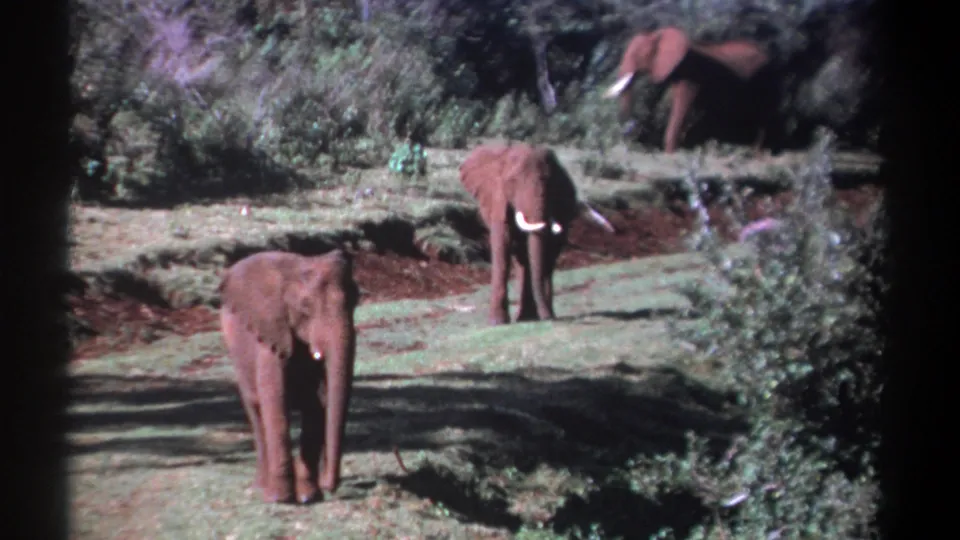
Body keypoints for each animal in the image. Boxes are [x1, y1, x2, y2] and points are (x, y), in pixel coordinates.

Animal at [218, 249, 360, 504]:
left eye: (357, 300)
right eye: (305, 306)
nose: (330, 486)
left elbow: (318, 404)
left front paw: (308, 497)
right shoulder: (271, 334)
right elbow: (275, 401)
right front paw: (281, 499)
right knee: (256, 412)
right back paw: (262, 487)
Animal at [459, 142, 617, 325]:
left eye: (550, 183)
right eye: (511, 183)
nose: (548, 318)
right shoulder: (498, 198)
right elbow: (502, 244)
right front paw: (497, 323)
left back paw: (534, 316)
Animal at [603, 27, 780, 154]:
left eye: (638, 55)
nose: (629, 133)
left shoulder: (690, 74)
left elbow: (682, 106)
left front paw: (671, 153)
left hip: (766, 79)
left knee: (763, 117)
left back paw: (757, 153)